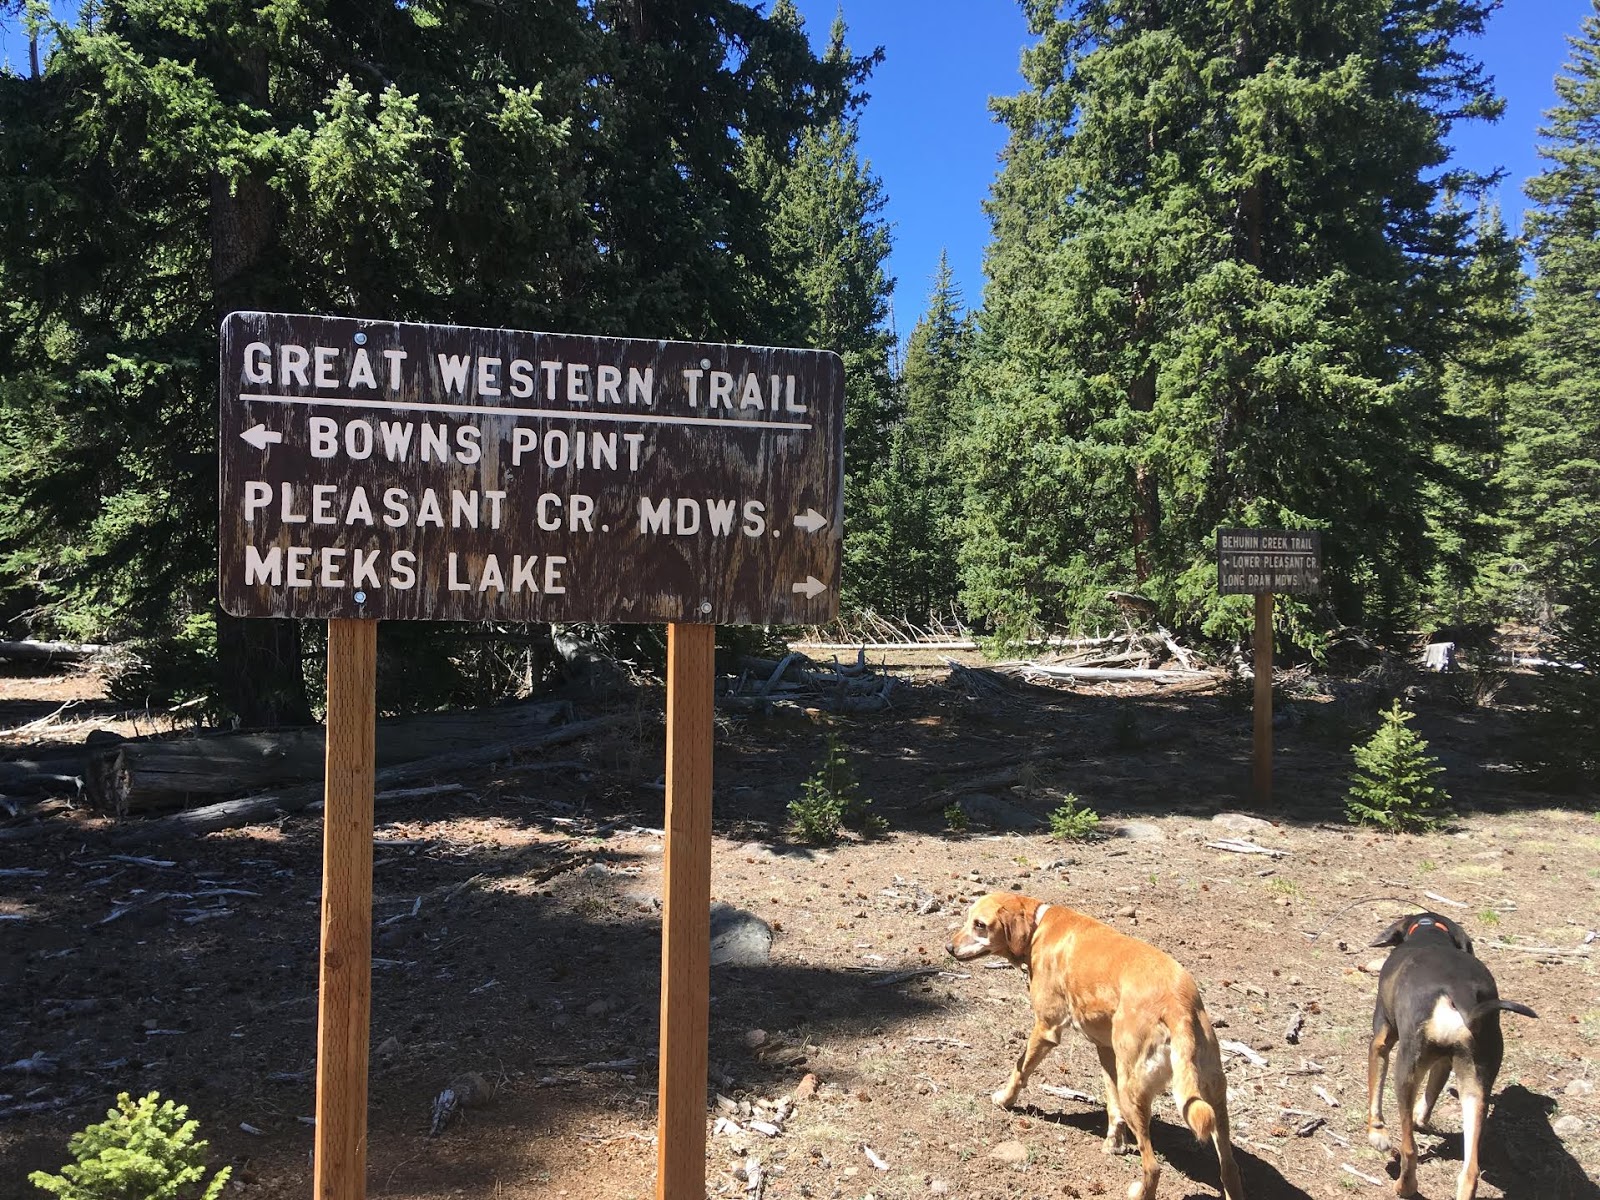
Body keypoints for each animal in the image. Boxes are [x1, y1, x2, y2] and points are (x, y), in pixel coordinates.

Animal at [940, 896, 1241, 1200]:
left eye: (980, 924)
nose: (949, 948)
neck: (1038, 926)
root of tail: (1177, 1005)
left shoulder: (1046, 1029)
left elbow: (1020, 1069)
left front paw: (1004, 1098)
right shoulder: (1106, 1051)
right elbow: (1111, 1102)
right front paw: (1114, 1143)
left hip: (1136, 1091)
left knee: (1153, 1167)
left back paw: (1139, 1191)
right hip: (1213, 1099)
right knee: (1230, 1168)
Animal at [1363, 915, 1536, 1196]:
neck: (1430, 932)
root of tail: (1460, 995)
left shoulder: (1381, 1041)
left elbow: (1376, 1095)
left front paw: (1377, 1134)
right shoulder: (1444, 1062)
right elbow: (1432, 1093)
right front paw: (1420, 1117)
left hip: (1407, 1069)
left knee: (1410, 1149)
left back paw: (1404, 1187)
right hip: (1475, 1084)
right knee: (1470, 1171)